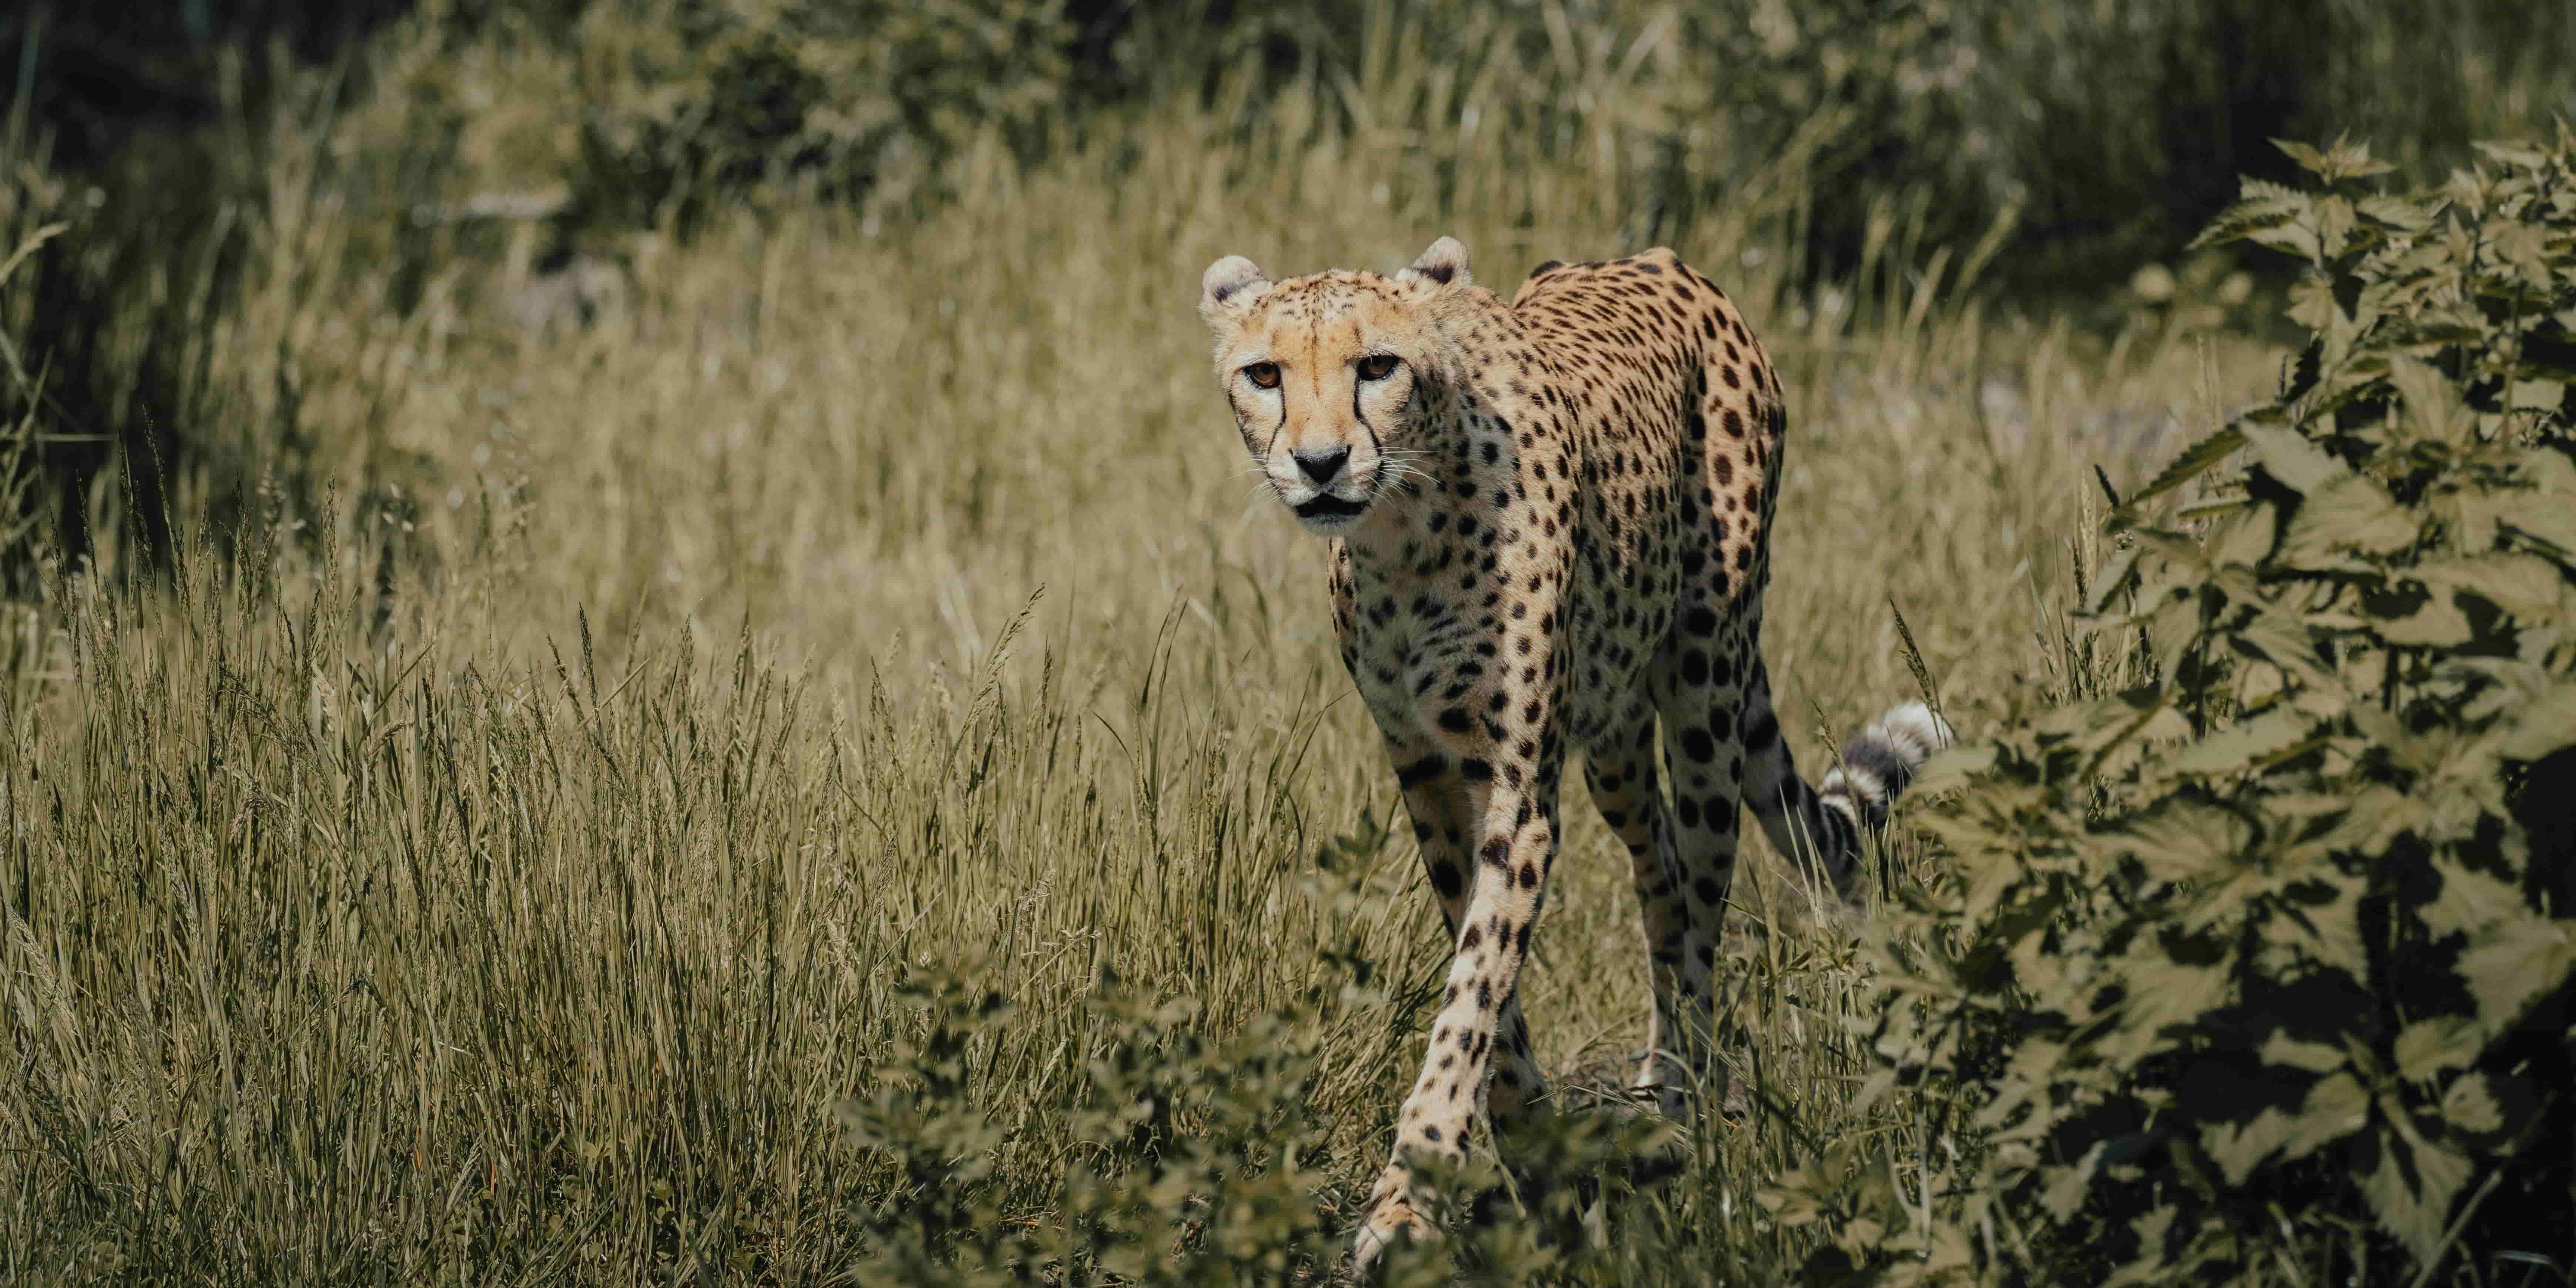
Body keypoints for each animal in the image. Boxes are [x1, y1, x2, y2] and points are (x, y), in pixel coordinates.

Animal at [1195, 235, 1951, 1271]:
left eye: (1377, 366)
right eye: (1264, 374)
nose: (1319, 464)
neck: (1402, 532)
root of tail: (1660, 258)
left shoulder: (1516, 792)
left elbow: (1472, 991)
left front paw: (1408, 1198)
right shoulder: (1427, 775)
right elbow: (1481, 974)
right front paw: (1529, 1145)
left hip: (1706, 682)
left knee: (1701, 899)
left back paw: (1682, 1101)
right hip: (1615, 740)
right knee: (1659, 868)